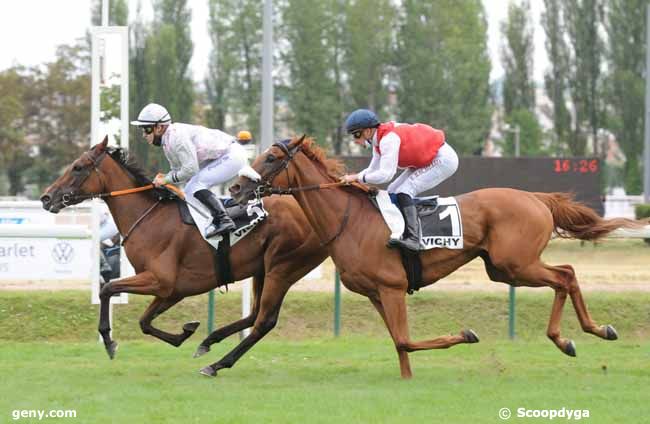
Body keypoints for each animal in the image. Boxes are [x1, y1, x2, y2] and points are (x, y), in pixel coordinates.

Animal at [38, 137, 326, 376]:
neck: (149, 218)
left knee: (265, 320)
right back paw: (209, 341)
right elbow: (144, 321)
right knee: (255, 315)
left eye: (78, 167)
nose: (46, 197)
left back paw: (216, 364)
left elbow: (108, 288)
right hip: (262, 270)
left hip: (283, 267)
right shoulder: (173, 290)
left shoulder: (160, 280)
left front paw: (109, 341)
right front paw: (186, 332)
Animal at [229, 135, 644, 378]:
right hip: (504, 269)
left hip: (516, 263)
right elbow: (400, 342)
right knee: (566, 272)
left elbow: (405, 339)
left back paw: (579, 334)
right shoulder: (377, 293)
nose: (235, 188)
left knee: (566, 275)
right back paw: (580, 335)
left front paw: (465, 333)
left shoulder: (392, 287)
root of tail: (536, 197)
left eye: (270, 157)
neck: (349, 219)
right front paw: (407, 377)